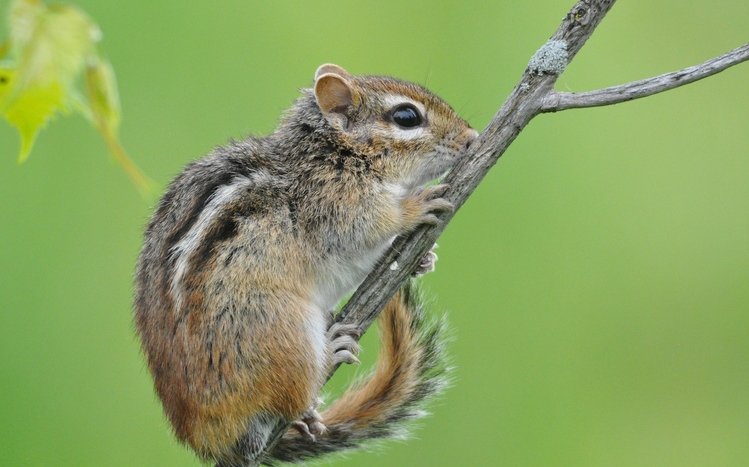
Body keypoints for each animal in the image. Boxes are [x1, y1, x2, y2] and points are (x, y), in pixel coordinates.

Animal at [134, 63, 477, 466]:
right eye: (407, 117)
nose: (471, 137)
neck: (335, 153)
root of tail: (212, 441)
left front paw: (424, 258)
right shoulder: (335, 204)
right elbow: (369, 225)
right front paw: (413, 207)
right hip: (282, 331)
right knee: (290, 397)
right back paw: (330, 354)